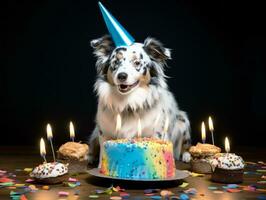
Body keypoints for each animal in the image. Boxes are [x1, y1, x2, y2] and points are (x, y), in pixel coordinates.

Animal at [89, 34, 191, 166]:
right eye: (115, 62)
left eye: (137, 63)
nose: (122, 76)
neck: (128, 102)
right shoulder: (104, 133)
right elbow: (103, 152)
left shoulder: (157, 133)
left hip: (183, 120)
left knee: (186, 144)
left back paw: (186, 156)